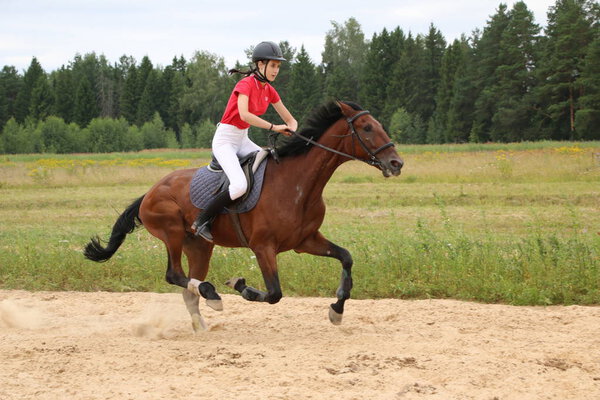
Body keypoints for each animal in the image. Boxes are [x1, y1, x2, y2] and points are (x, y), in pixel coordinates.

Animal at [84, 101, 404, 332]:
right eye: (366, 127)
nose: (396, 163)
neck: (299, 184)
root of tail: (149, 192)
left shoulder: (306, 241)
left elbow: (346, 257)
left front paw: (337, 310)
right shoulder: (263, 247)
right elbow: (273, 293)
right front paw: (239, 285)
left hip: (200, 246)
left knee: (189, 288)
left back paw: (202, 321)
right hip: (172, 232)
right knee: (175, 275)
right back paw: (212, 294)